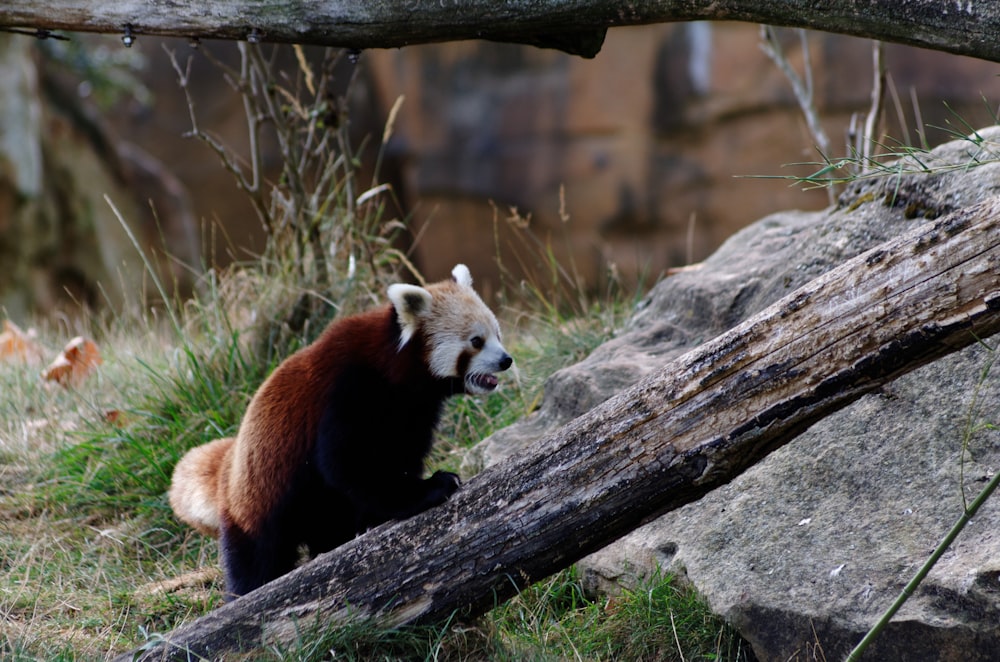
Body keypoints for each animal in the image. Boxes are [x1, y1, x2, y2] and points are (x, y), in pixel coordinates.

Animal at [169, 266, 512, 600]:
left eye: (497, 333)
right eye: (476, 341)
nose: (506, 360)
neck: (393, 370)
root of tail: (230, 464)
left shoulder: (412, 414)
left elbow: (398, 457)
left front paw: (381, 512)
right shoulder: (348, 390)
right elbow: (346, 464)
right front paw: (429, 488)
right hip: (257, 503)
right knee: (257, 559)